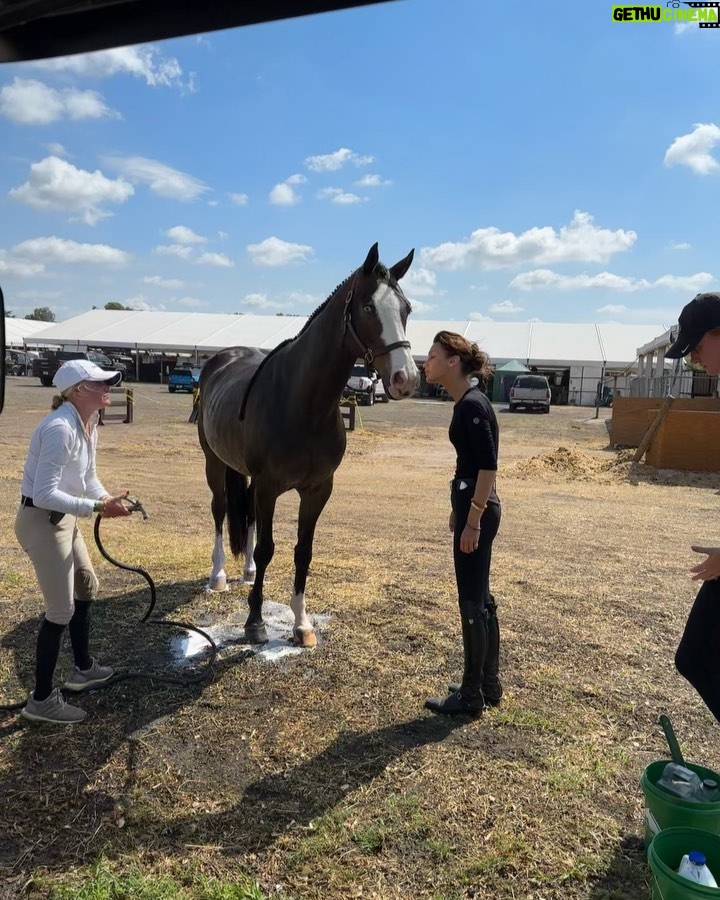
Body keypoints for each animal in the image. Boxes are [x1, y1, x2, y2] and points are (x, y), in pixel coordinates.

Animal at [197, 243, 420, 647]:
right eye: (368, 307)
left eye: (406, 309)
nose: (406, 378)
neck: (303, 403)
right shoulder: (269, 487)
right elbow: (268, 549)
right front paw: (255, 622)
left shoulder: (317, 490)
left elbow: (303, 552)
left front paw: (301, 624)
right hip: (214, 463)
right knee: (220, 511)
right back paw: (219, 576)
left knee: (246, 515)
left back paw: (247, 573)